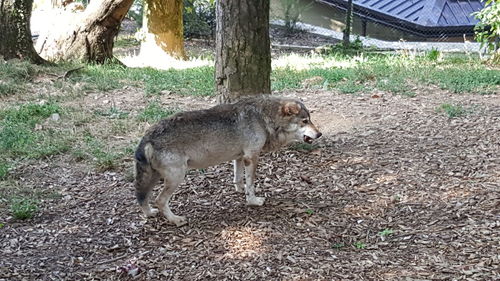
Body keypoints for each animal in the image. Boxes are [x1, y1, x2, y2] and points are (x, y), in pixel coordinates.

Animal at [134, 95, 320, 226]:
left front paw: (240, 191)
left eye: (310, 120)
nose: (319, 134)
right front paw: (253, 201)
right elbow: (251, 184)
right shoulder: (252, 157)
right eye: (305, 121)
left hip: (155, 177)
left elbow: (238, 178)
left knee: (142, 197)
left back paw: (150, 213)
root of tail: (147, 138)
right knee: (159, 200)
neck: (263, 117)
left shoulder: (240, 157)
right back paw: (175, 220)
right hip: (176, 177)